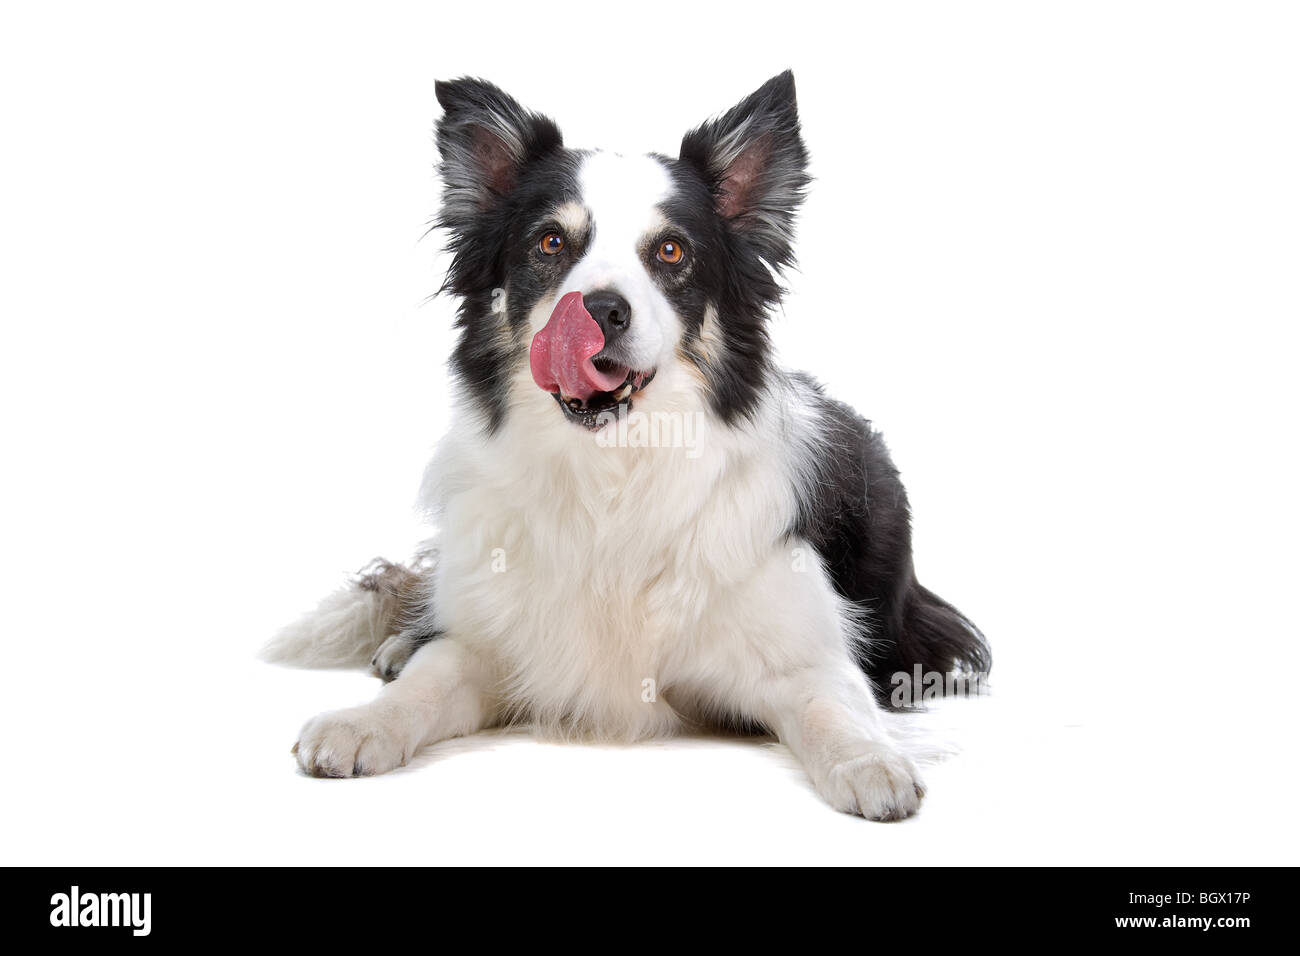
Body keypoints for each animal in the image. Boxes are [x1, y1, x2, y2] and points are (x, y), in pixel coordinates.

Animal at [266, 70, 993, 816]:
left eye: (671, 252)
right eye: (550, 244)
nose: (601, 311)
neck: (613, 472)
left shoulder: (802, 653)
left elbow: (833, 704)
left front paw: (869, 760)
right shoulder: (489, 645)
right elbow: (430, 678)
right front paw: (362, 721)